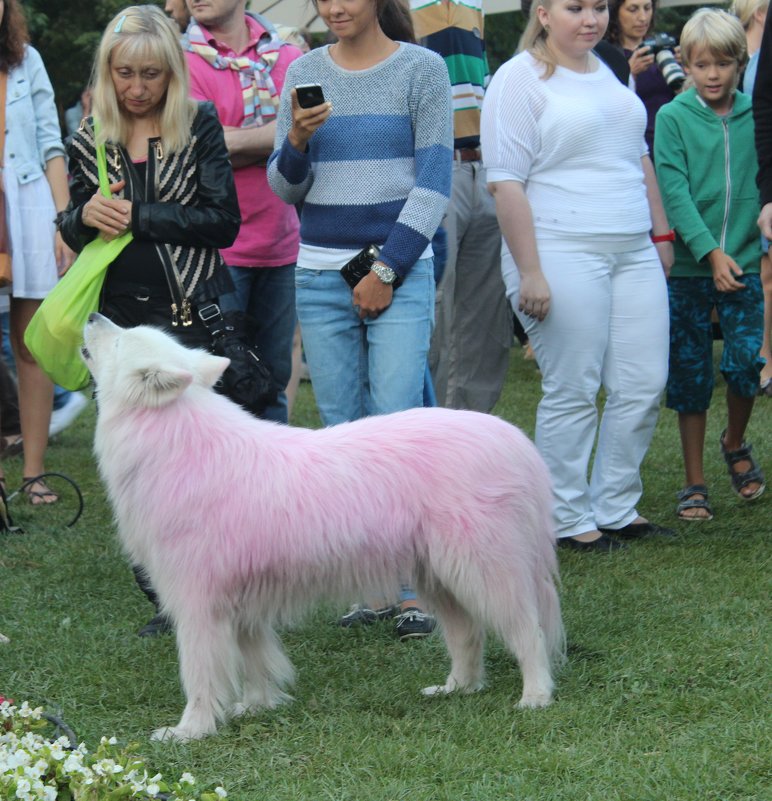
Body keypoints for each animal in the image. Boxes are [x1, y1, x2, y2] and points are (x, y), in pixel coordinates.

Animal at [83, 316, 568, 740]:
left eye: (121, 339)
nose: (92, 315)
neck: (176, 440)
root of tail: (514, 441)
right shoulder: (242, 606)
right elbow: (256, 662)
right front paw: (255, 706)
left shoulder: (198, 605)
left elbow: (200, 675)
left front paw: (189, 731)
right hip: (439, 575)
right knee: (468, 635)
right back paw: (455, 689)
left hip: (485, 571)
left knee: (529, 632)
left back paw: (535, 696)